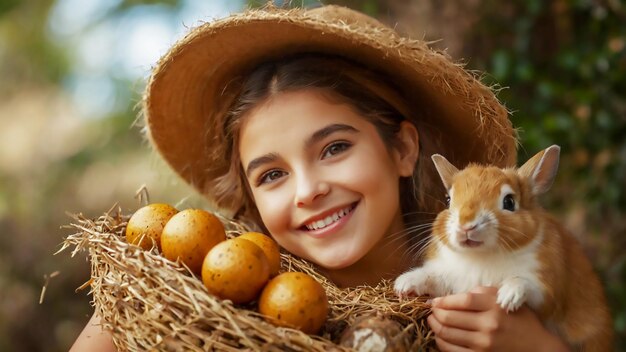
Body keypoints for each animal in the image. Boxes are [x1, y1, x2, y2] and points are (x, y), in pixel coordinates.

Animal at [392, 144, 612, 350]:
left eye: (509, 202)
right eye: (448, 200)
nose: (466, 224)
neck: (481, 255)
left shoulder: (546, 289)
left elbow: (529, 286)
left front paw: (508, 297)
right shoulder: (451, 279)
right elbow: (434, 278)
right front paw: (404, 283)